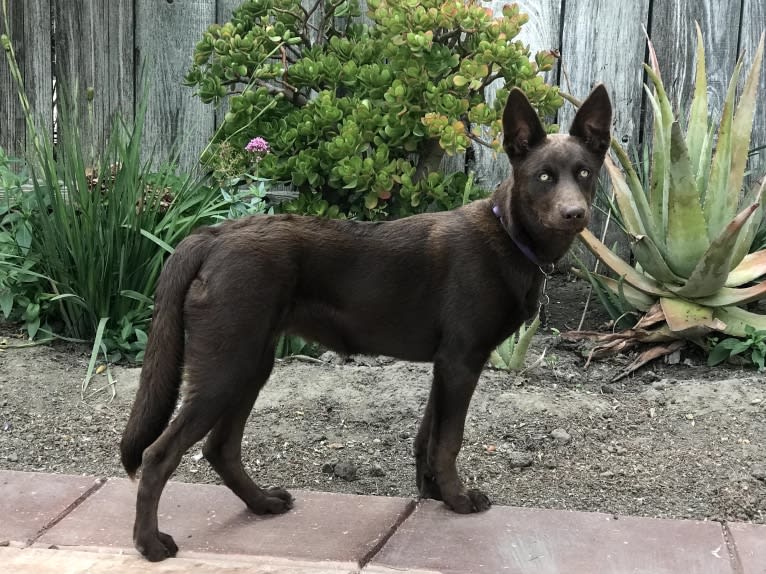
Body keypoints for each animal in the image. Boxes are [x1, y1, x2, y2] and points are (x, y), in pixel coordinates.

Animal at [121, 84, 612, 564]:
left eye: (584, 173)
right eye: (544, 176)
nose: (575, 214)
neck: (509, 234)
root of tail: (213, 235)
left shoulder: (446, 366)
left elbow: (428, 438)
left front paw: (433, 495)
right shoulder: (462, 362)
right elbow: (449, 440)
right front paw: (458, 501)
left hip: (251, 364)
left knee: (219, 449)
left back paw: (262, 504)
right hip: (226, 366)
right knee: (158, 455)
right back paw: (150, 544)